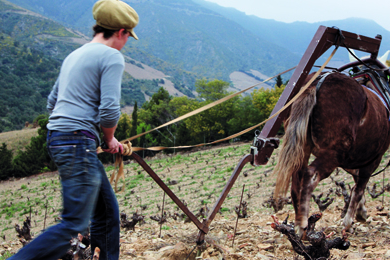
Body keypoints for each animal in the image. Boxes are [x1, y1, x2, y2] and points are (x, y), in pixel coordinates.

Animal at [272, 71, 390, 238]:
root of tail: (315, 84)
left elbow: (356, 183)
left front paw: (361, 213)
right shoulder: (373, 159)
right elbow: (359, 188)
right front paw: (349, 222)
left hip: (304, 149)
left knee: (296, 180)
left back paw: (298, 221)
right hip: (334, 153)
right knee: (310, 175)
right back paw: (302, 224)